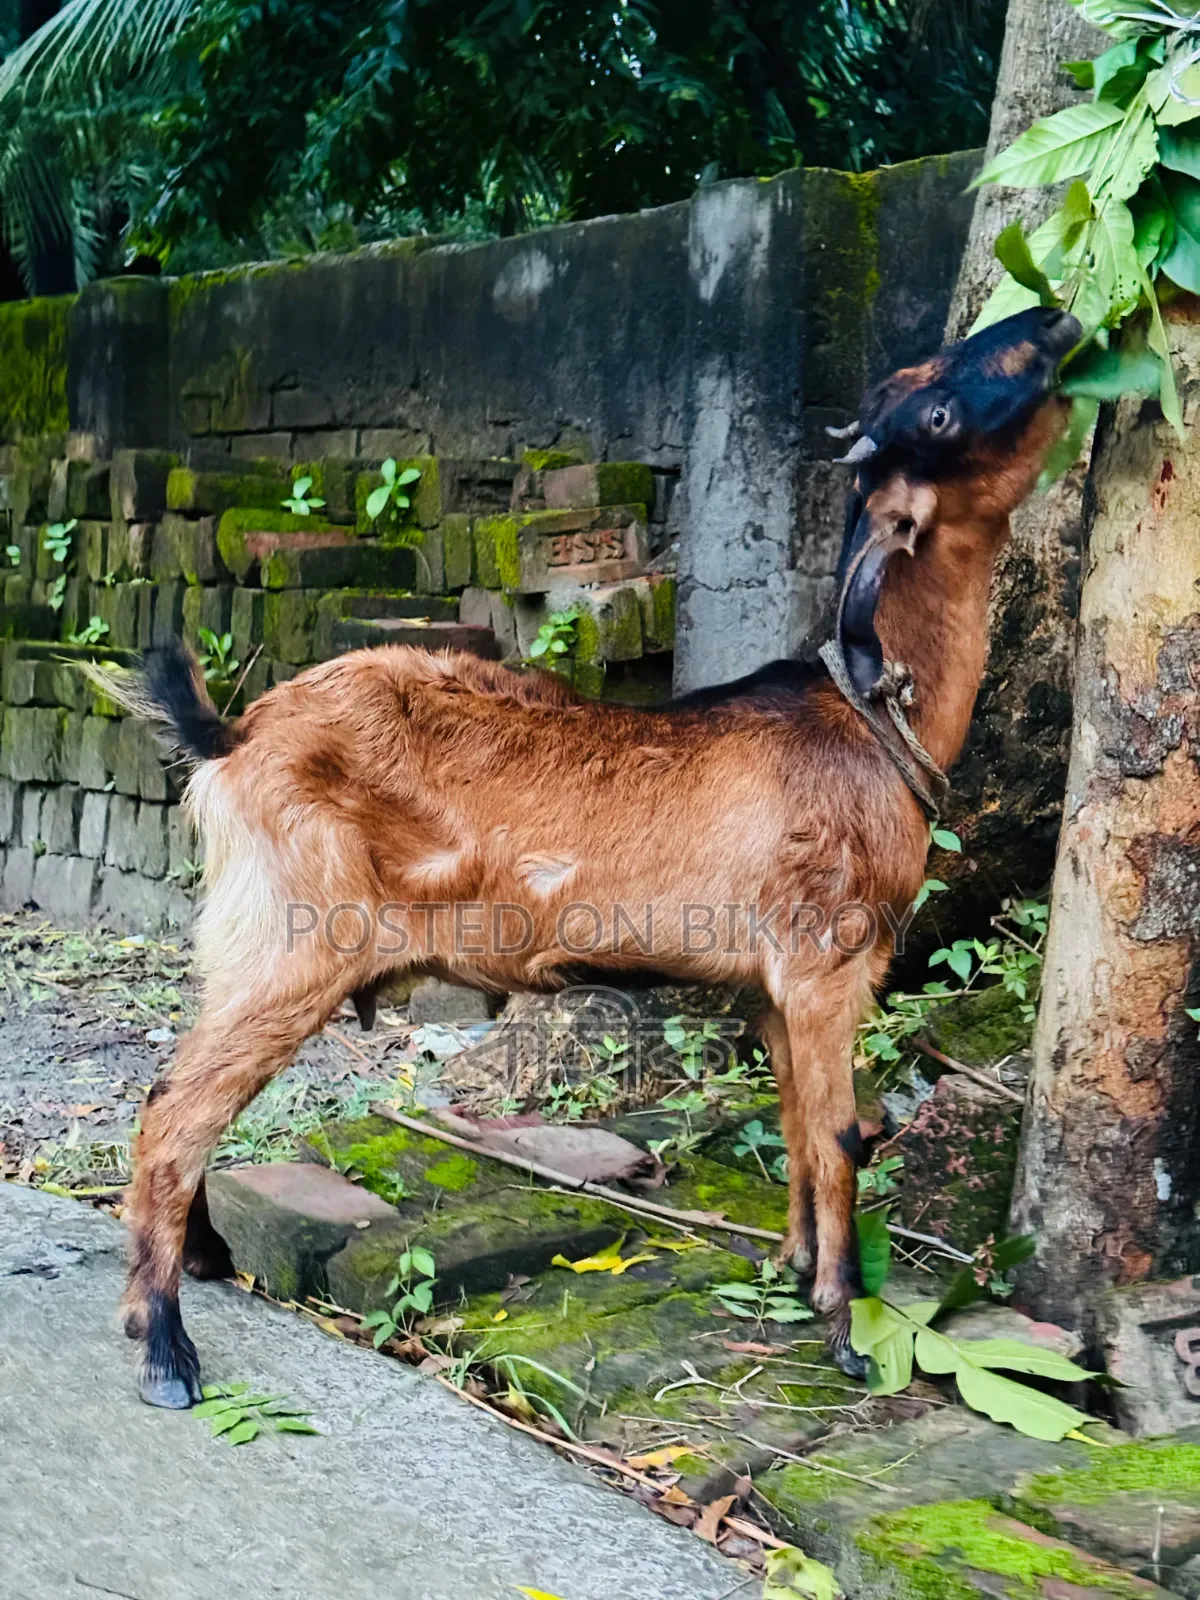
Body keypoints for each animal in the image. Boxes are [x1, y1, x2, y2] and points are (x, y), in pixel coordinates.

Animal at [109, 305, 1080, 1407]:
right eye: (942, 410)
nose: (1057, 320)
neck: (862, 721)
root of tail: (234, 734)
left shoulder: (772, 990)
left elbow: (796, 1125)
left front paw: (794, 1273)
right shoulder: (828, 960)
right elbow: (841, 1137)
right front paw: (845, 1330)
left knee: (179, 1095)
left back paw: (202, 1261)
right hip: (295, 941)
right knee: (177, 1112)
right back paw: (164, 1345)